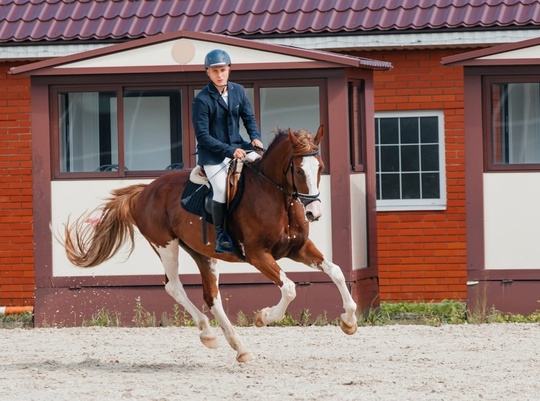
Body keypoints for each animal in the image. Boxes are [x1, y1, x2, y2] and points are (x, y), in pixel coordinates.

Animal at [62, 126, 358, 362]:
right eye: (297, 169)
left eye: (319, 168)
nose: (314, 213)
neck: (277, 197)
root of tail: (144, 191)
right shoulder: (258, 255)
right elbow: (289, 288)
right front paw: (264, 317)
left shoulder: (297, 249)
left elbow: (336, 271)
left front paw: (349, 321)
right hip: (166, 245)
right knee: (174, 287)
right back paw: (208, 332)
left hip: (203, 254)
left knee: (211, 296)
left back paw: (238, 347)